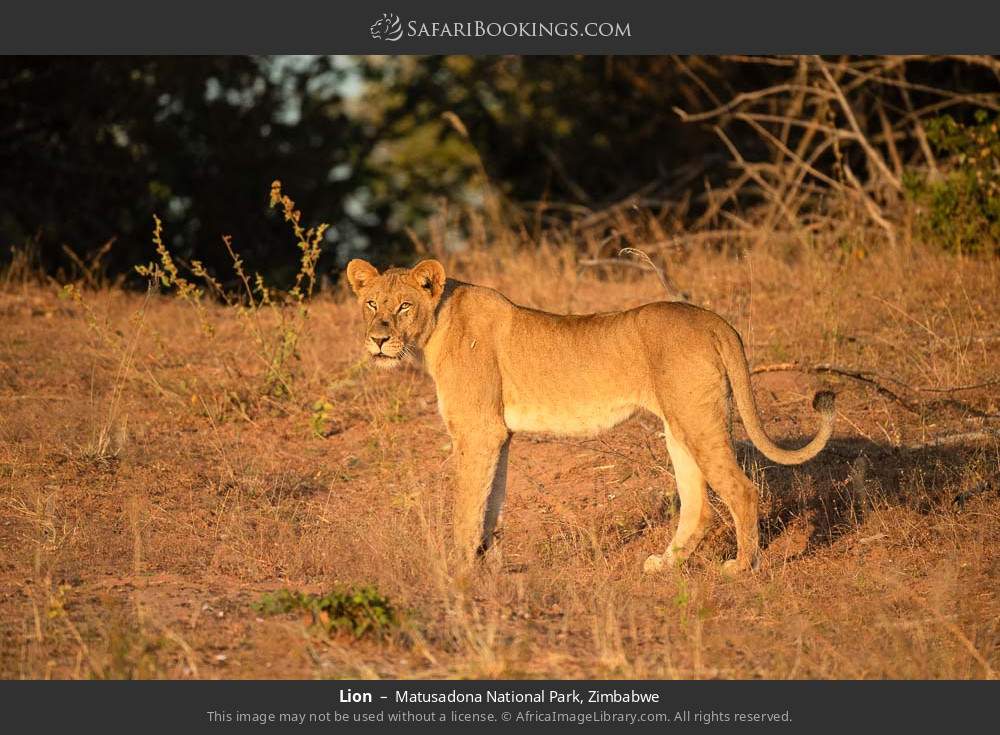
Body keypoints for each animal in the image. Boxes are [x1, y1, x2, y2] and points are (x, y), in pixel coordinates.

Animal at [345, 258, 835, 574]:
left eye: (403, 306)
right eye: (371, 304)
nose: (378, 340)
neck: (434, 329)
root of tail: (714, 320)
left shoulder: (478, 430)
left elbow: (467, 504)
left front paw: (459, 570)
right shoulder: (498, 434)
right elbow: (492, 501)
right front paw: (490, 564)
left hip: (698, 420)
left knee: (742, 491)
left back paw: (742, 567)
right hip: (680, 426)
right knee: (698, 506)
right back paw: (664, 565)